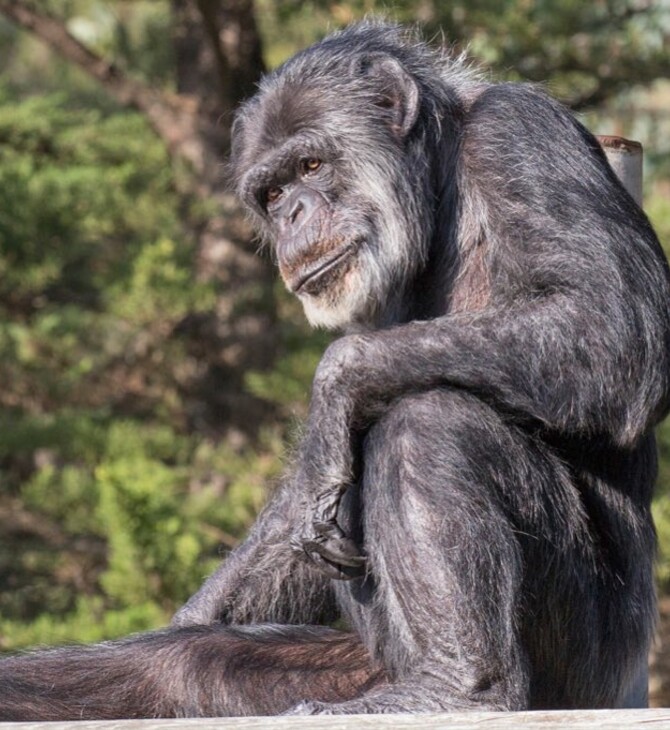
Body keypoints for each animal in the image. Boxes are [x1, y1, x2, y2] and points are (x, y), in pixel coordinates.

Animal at [1, 21, 670, 716]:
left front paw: (333, 386)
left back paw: (457, 688)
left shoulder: (521, 135)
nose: (292, 213)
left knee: (428, 420)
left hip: (585, 663)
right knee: (180, 666)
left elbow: (610, 323)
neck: (440, 188)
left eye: (312, 166)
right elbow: (305, 500)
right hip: (367, 662)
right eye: (271, 193)